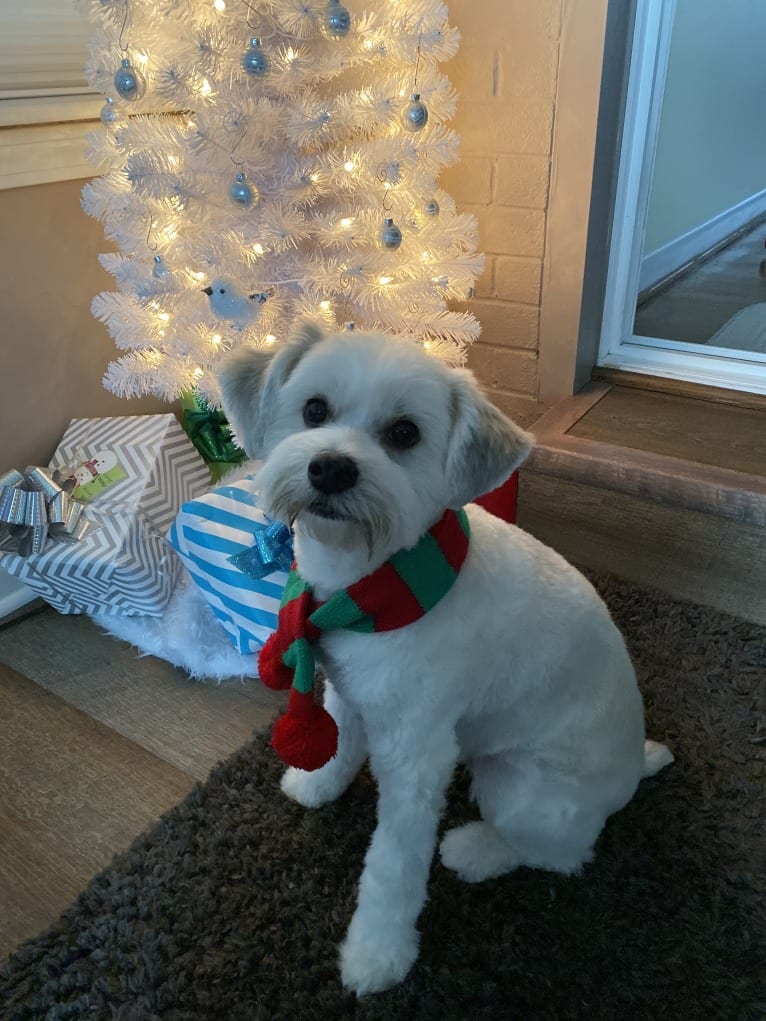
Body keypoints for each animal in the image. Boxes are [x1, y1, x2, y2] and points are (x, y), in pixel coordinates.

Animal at [218, 324, 674, 996]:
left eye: (405, 433)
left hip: (517, 786)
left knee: (562, 853)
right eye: (314, 410)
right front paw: (318, 784)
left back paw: (477, 851)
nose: (330, 467)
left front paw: (377, 955)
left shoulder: (417, 758)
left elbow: (391, 868)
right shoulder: (349, 689)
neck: (369, 587)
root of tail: (629, 773)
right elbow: (339, 741)